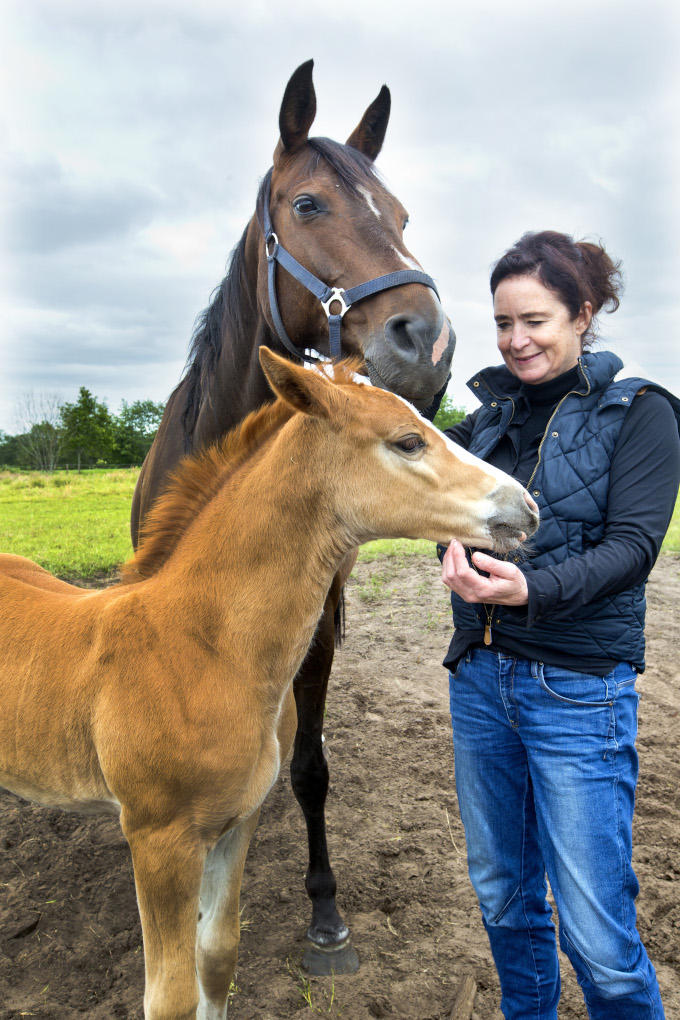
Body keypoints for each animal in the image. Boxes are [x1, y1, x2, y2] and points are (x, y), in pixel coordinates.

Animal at [1, 348, 542, 1011]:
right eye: (409, 441)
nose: (526, 508)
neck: (200, 646)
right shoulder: (159, 840)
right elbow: (170, 997)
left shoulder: (237, 823)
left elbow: (217, 957)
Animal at [131, 57, 460, 971]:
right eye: (308, 205)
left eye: (403, 216)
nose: (429, 343)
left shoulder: (312, 632)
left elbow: (311, 766)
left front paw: (325, 910)